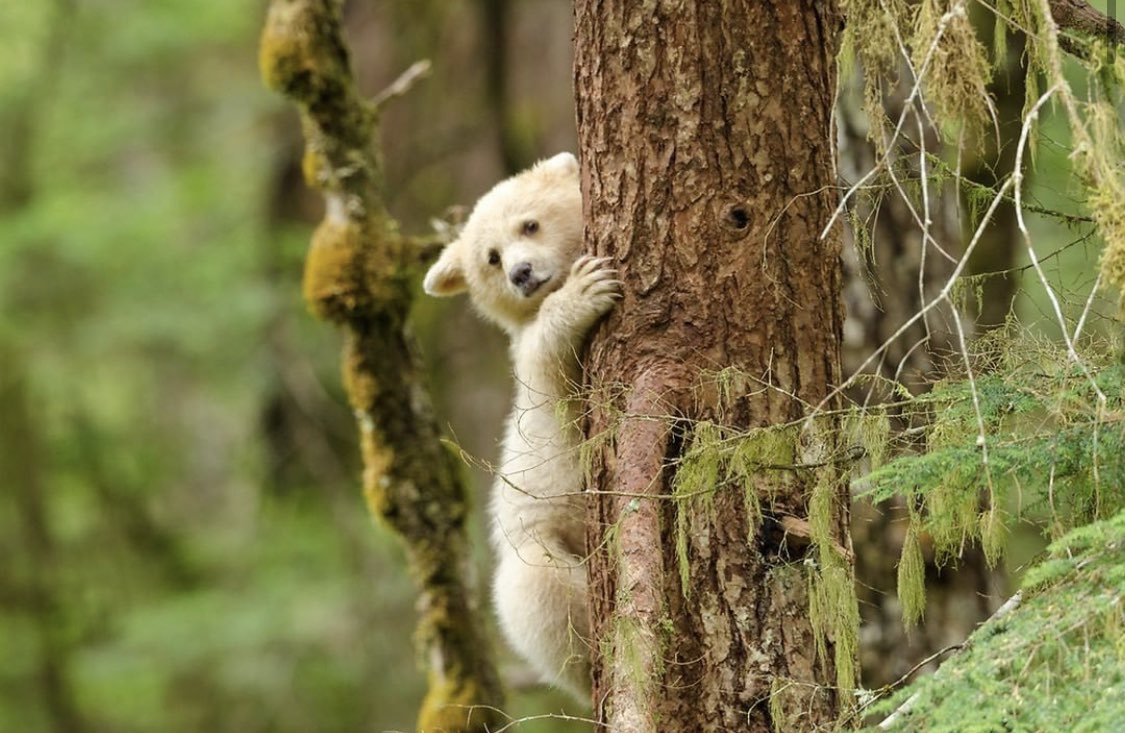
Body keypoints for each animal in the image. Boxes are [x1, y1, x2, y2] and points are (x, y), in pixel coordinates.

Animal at [423, 152, 619, 700]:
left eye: (529, 224)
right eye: (491, 257)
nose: (522, 272)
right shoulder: (539, 386)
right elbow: (549, 365)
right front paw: (585, 290)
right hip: (539, 546)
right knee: (541, 588)